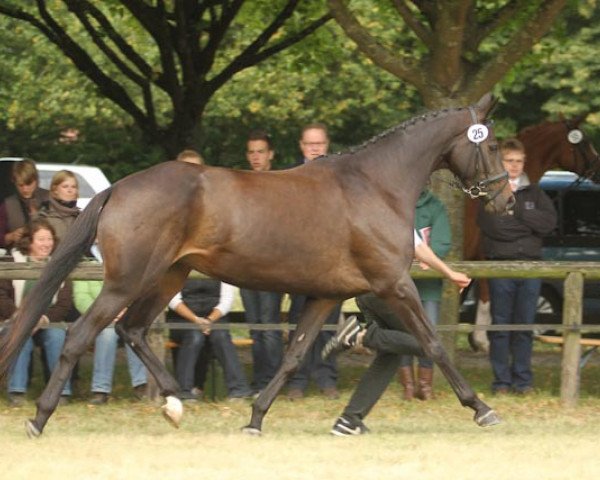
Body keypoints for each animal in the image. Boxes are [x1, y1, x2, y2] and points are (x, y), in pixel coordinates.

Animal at [2, 93, 512, 436]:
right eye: (490, 146)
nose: (505, 199)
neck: (374, 185)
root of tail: (118, 189)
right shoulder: (395, 284)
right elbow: (433, 343)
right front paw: (482, 409)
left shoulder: (325, 295)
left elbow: (292, 356)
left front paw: (255, 417)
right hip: (128, 281)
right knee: (81, 334)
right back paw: (39, 418)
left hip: (169, 275)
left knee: (133, 330)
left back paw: (175, 405)